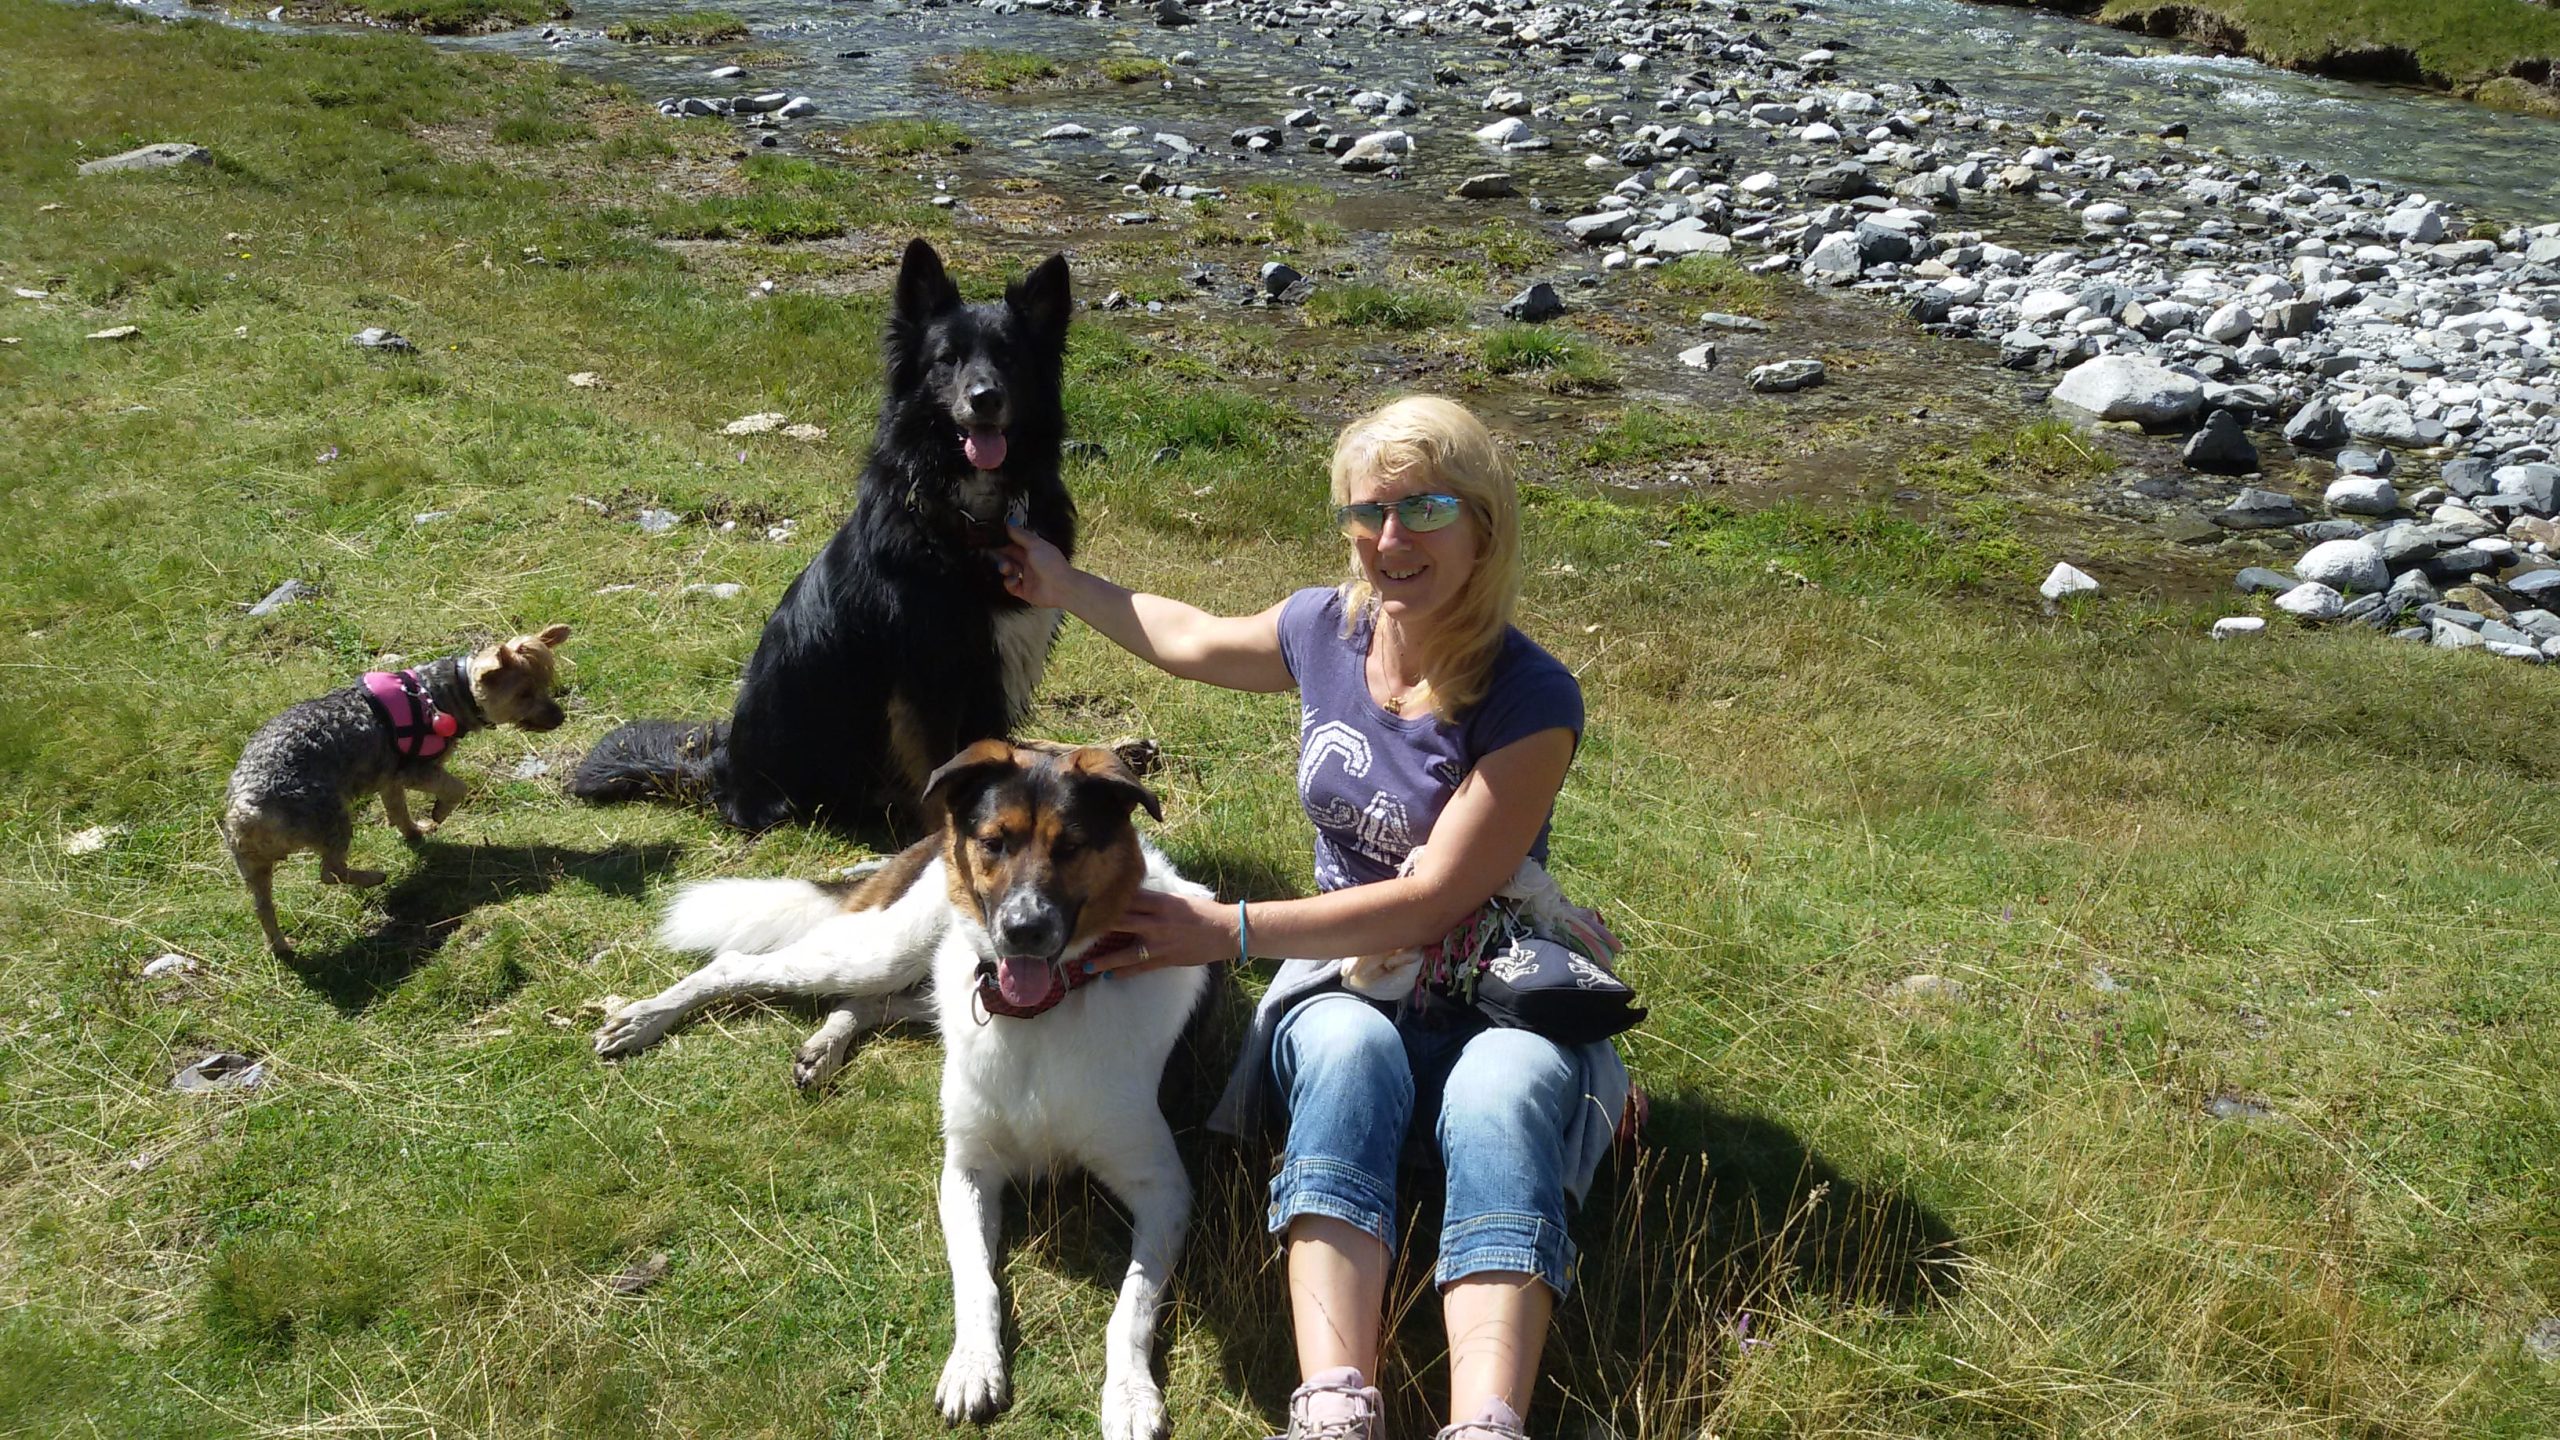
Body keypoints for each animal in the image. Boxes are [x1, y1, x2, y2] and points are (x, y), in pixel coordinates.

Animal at [226, 625, 576, 953]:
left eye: (546, 684)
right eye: (524, 694)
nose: (559, 717)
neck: (446, 691)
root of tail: (244, 810)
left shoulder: (390, 778)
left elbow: (398, 811)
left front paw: (414, 832)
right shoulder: (415, 770)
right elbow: (456, 787)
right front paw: (438, 812)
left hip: (253, 867)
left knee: (264, 907)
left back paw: (281, 946)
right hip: (331, 819)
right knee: (330, 871)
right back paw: (373, 877)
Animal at [570, 238, 1070, 830]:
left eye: (1010, 358)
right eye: (947, 359)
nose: (985, 397)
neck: (969, 516)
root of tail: (722, 769)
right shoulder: (928, 680)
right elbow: (938, 773)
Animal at [588, 737, 1208, 1434]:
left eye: (1071, 845)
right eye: (995, 842)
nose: (1022, 931)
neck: (1042, 1014)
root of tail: (928, 838)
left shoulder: (1164, 1190)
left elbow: (1129, 1307)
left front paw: (1129, 1395)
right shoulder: (966, 1170)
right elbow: (976, 1281)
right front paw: (972, 1366)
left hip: (923, 972)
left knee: (870, 1002)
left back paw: (822, 1045)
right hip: (884, 950)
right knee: (743, 965)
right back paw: (644, 1018)